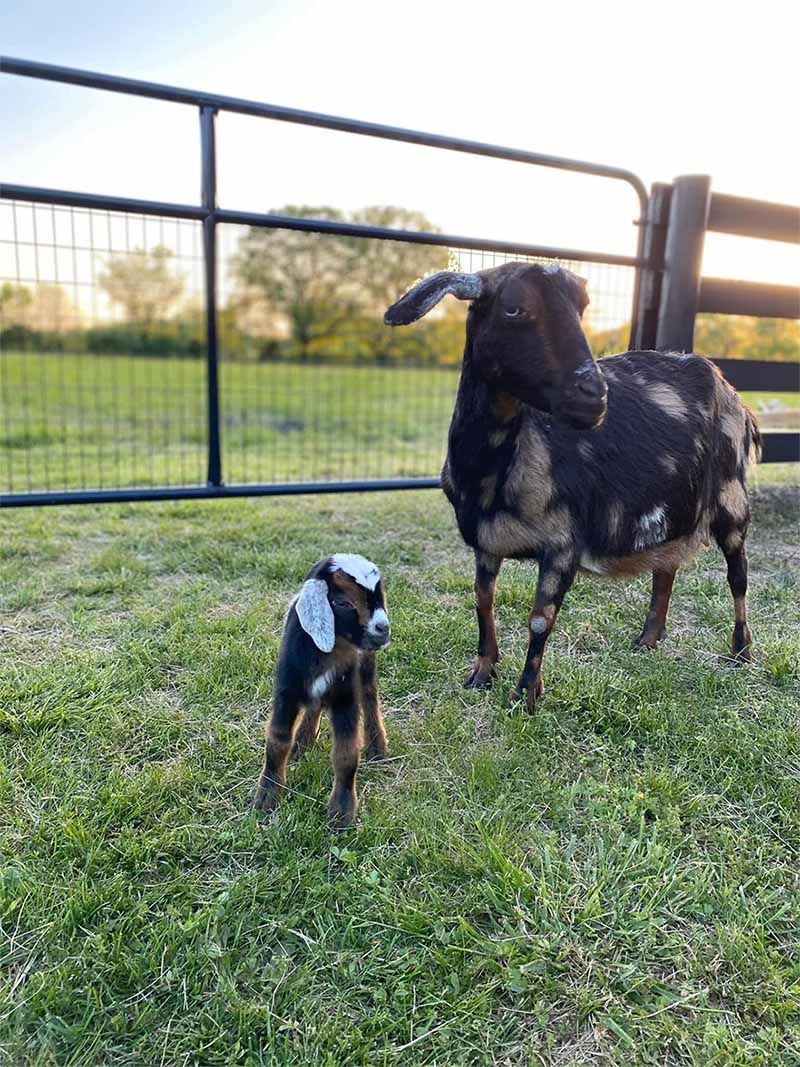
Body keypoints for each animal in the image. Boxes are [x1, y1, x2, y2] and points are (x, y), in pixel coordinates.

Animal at [253, 553, 390, 827]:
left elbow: (346, 754)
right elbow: (277, 740)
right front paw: (267, 797)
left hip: (366, 667)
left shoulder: (346, 697)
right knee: (314, 707)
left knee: (370, 697)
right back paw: (302, 742)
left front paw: (341, 813)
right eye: (343, 602)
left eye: (379, 597)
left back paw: (377, 747)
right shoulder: (286, 690)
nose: (384, 629)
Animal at [385, 263, 760, 711]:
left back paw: (741, 652)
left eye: (581, 308)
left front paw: (525, 697)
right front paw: (482, 673)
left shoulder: (563, 542)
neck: (492, 473)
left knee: (738, 576)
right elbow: (481, 599)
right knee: (666, 565)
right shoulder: (486, 541)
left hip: (731, 498)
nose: (593, 397)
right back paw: (648, 640)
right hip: (675, 505)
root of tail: (730, 389)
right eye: (514, 308)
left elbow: (539, 619)